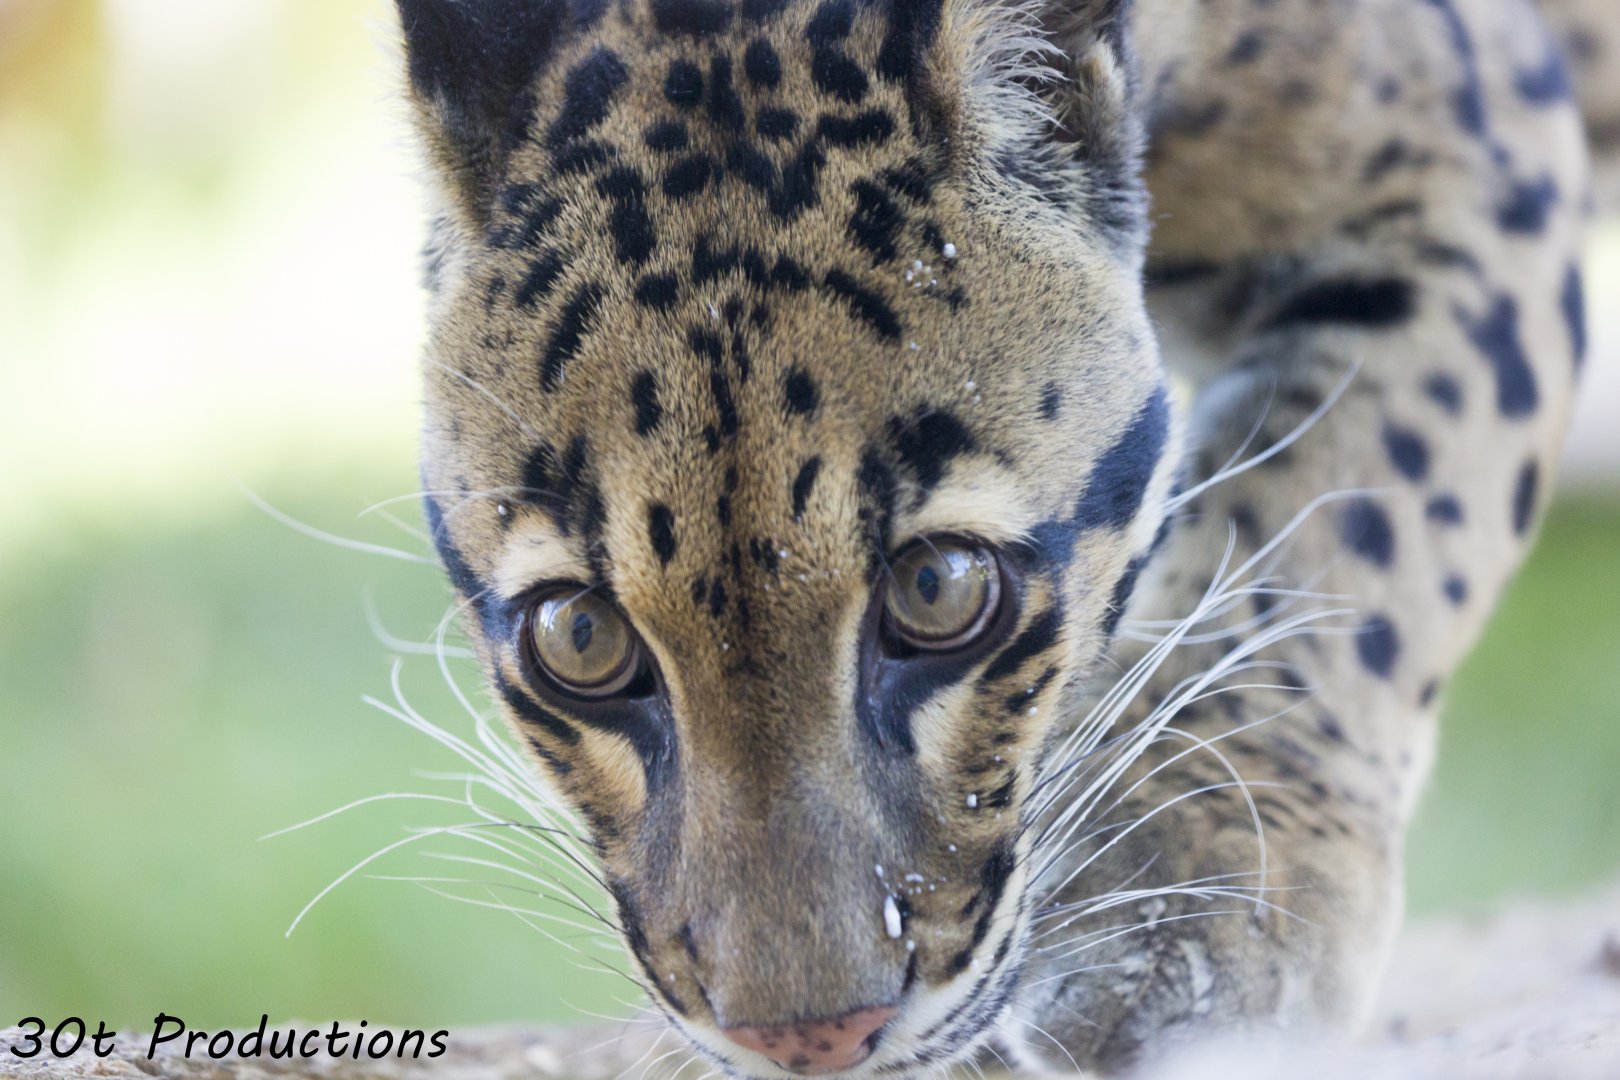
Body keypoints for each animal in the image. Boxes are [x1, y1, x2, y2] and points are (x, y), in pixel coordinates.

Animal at [391, 0, 1615, 1074]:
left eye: (938, 589)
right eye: (580, 637)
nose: (807, 1040)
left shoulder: (1474, 158)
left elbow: (1351, 507)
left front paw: (1189, 905)